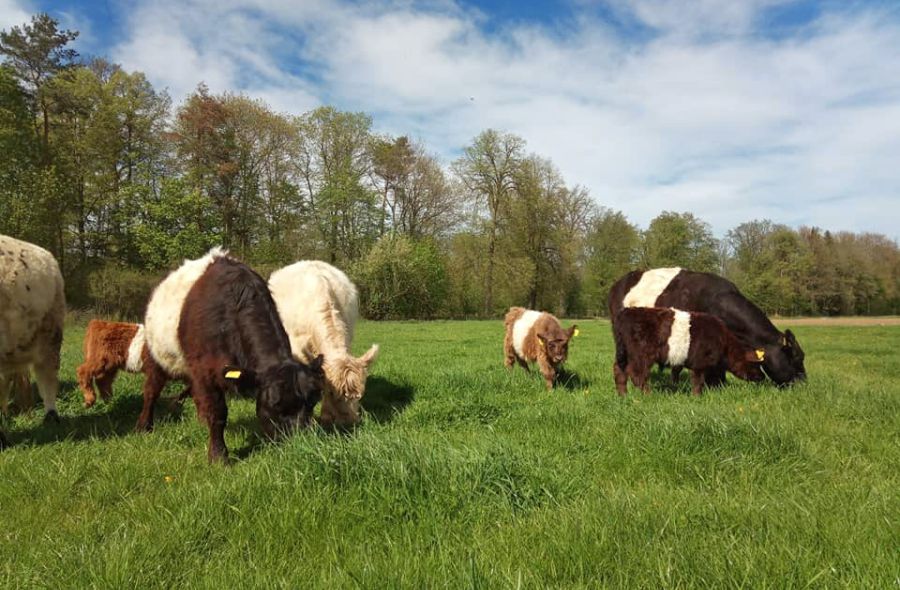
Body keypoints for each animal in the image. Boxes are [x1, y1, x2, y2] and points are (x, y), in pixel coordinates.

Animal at [139, 247, 326, 464]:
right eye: (275, 405)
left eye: (313, 400)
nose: (300, 444)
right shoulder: (205, 370)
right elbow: (217, 412)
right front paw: (218, 456)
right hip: (156, 354)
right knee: (151, 391)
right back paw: (144, 426)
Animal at [612, 306, 768, 398]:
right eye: (756, 364)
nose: (762, 377)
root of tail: (626, 311)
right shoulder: (700, 363)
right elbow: (698, 381)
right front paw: (697, 397)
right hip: (641, 355)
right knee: (638, 375)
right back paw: (648, 396)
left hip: (623, 354)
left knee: (619, 371)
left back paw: (623, 395)